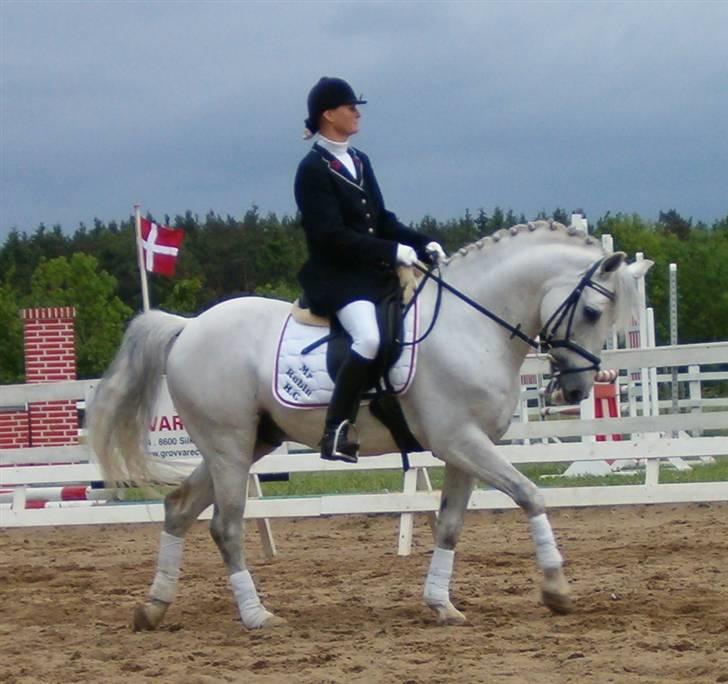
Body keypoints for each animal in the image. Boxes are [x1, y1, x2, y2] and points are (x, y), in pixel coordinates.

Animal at [88, 219, 652, 632]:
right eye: (594, 311)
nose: (578, 390)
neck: (473, 327)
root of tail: (187, 327)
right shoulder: (459, 441)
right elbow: (531, 494)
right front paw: (556, 590)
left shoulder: (465, 450)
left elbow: (449, 524)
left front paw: (441, 604)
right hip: (228, 445)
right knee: (226, 527)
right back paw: (257, 616)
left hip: (246, 444)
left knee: (179, 508)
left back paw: (153, 608)